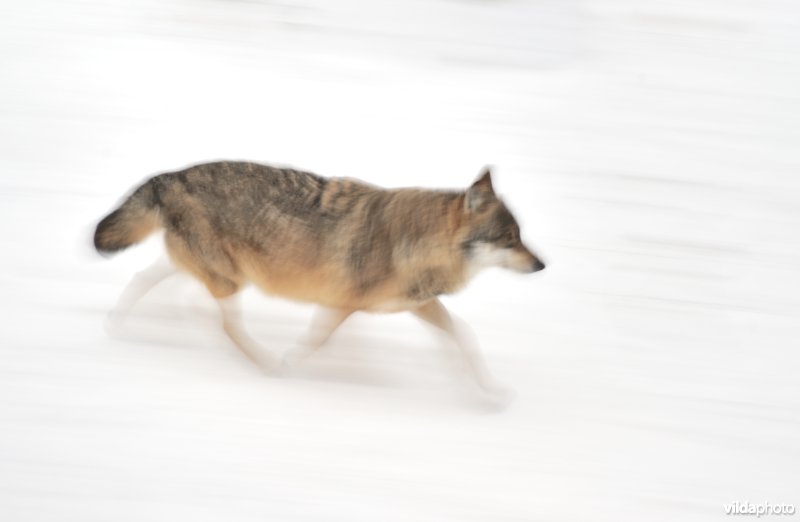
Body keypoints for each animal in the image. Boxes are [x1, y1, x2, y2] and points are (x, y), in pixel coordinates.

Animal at [94, 161, 545, 392]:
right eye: (509, 239)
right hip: (232, 279)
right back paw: (264, 362)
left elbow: (464, 337)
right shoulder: (341, 304)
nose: (542, 266)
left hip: (206, 269)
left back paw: (118, 325)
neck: (416, 240)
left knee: (146, 282)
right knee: (215, 317)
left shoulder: (420, 304)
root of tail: (170, 175)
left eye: (521, 237)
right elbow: (314, 341)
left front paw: (489, 391)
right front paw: (291, 362)